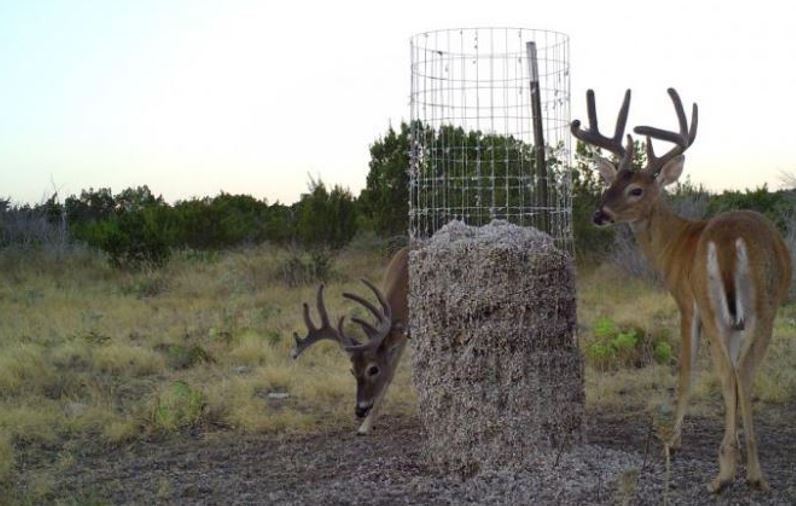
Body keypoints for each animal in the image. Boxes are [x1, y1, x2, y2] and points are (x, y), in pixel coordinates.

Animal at [290, 246, 410, 434]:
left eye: (373, 369)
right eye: (352, 371)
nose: (359, 410)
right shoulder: (401, 337)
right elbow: (390, 374)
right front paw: (365, 427)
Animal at [572, 89, 788, 492]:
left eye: (636, 189)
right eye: (610, 183)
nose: (599, 215)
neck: (674, 244)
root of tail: (730, 239)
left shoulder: (686, 303)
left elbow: (686, 371)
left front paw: (672, 440)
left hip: (716, 306)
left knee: (728, 371)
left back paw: (725, 473)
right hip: (764, 308)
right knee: (743, 372)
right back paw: (752, 472)